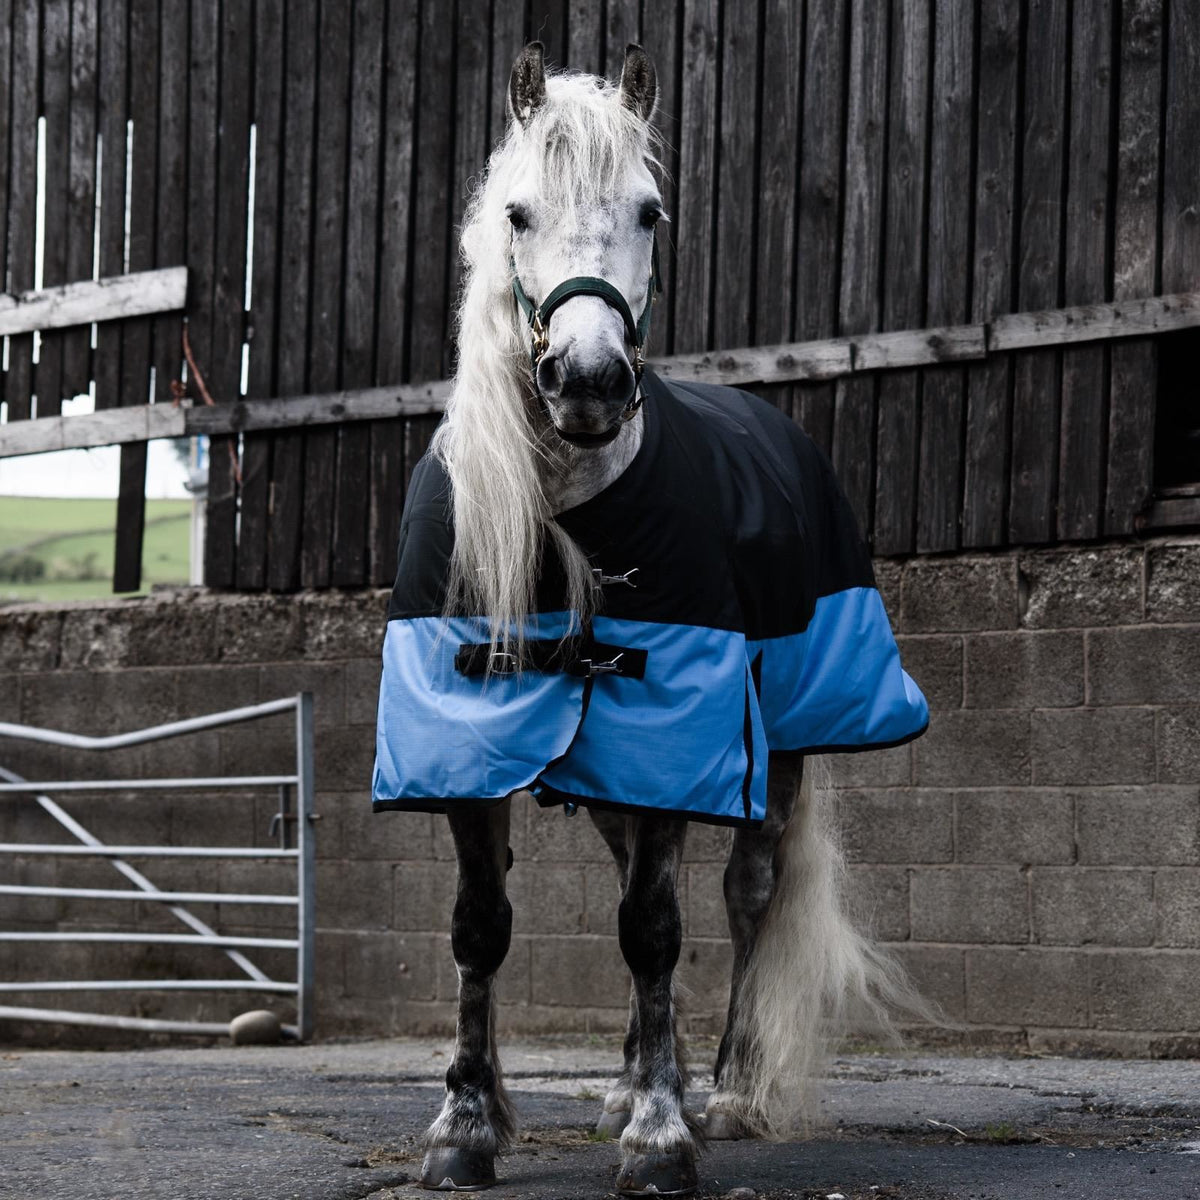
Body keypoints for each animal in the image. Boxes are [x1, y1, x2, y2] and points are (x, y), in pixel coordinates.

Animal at [372, 42, 932, 1196]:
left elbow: (655, 928)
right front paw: (466, 1123)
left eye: (649, 211)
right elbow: (481, 927)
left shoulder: (677, 718)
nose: (587, 380)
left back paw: (725, 1092)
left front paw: (664, 1139)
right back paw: (631, 1081)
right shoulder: (465, 727)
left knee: (745, 891)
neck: (560, 503)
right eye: (519, 213)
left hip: (777, 741)